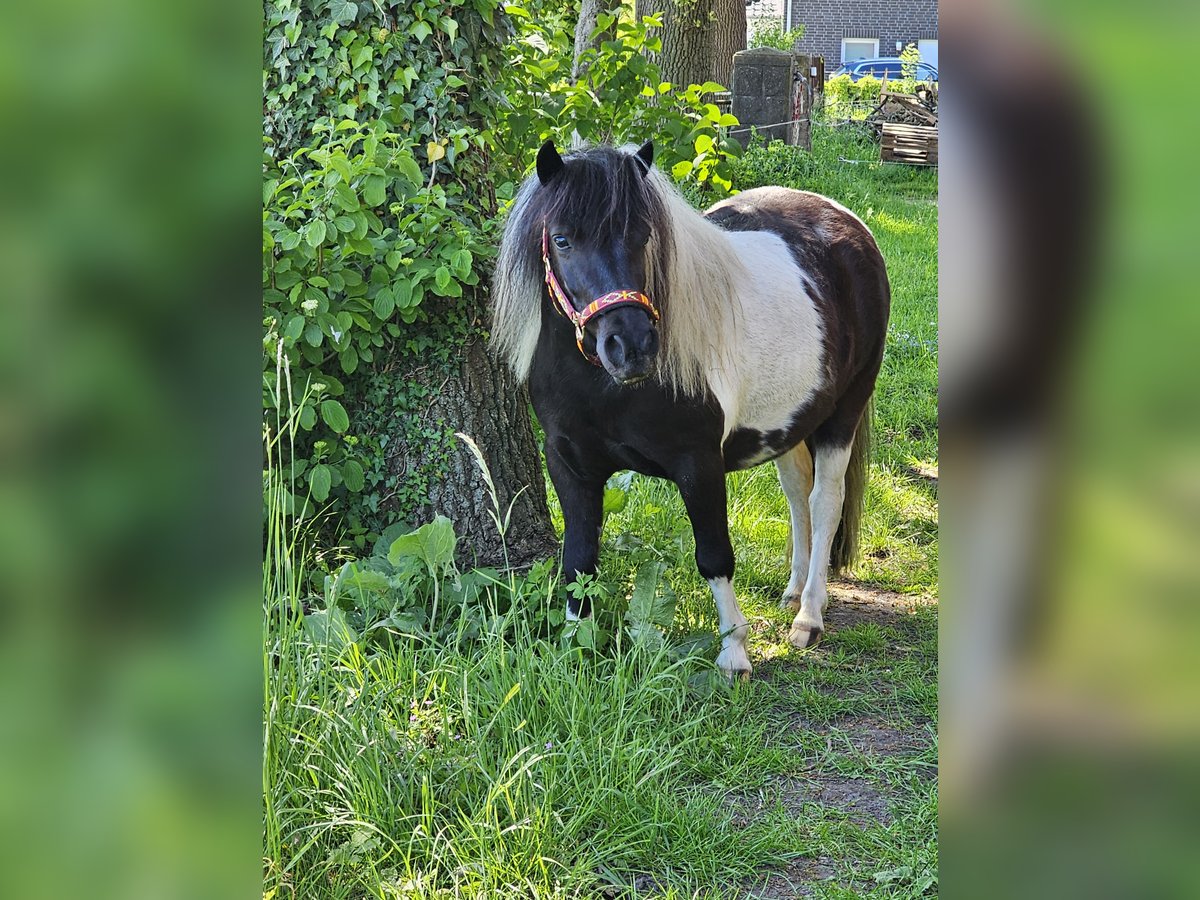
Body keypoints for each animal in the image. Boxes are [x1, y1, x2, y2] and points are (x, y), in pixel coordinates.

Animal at [487, 139, 892, 676]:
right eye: (562, 240)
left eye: (643, 236)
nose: (631, 346)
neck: (606, 389)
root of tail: (849, 226)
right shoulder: (569, 464)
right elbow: (578, 558)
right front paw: (574, 647)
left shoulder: (698, 463)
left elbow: (715, 556)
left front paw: (734, 652)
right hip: (787, 424)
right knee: (796, 494)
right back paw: (792, 591)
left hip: (844, 413)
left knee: (826, 502)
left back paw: (809, 615)